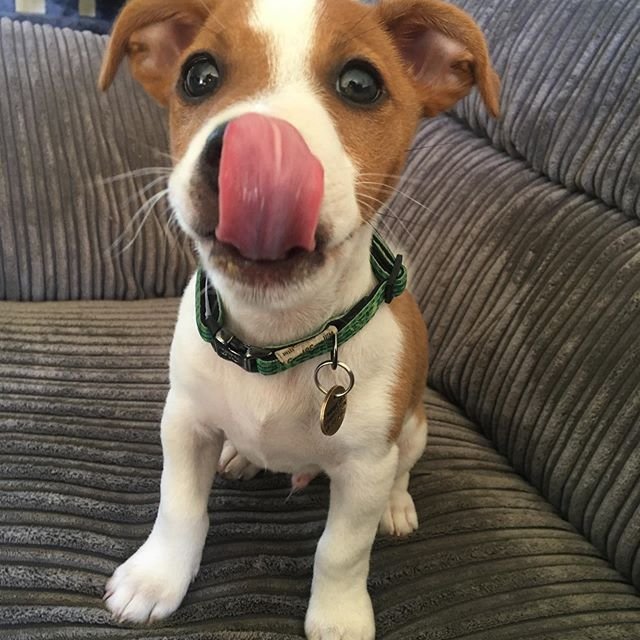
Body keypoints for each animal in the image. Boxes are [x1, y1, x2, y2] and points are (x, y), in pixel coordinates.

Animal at [101, 2, 500, 636]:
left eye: (360, 83)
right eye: (199, 76)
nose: (257, 150)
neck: (277, 339)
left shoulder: (365, 469)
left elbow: (341, 550)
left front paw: (338, 616)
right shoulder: (184, 421)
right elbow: (178, 506)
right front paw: (156, 578)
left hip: (413, 428)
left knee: (404, 468)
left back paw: (397, 505)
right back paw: (241, 455)